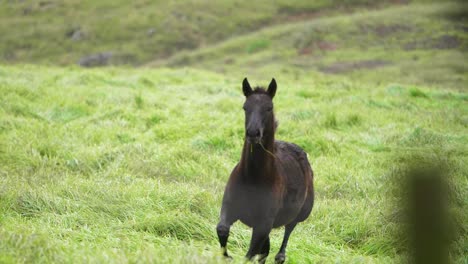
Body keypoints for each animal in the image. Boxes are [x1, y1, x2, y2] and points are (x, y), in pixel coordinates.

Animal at [217, 78, 314, 264]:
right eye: (245, 107)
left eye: (269, 107)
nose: (253, 133)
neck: (253, 177)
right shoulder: (230, 207)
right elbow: (222, 229)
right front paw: (227, 256)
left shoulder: (264, 223)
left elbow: (249, 255)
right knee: (265, 251)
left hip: (298, 214)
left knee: (284, 240)